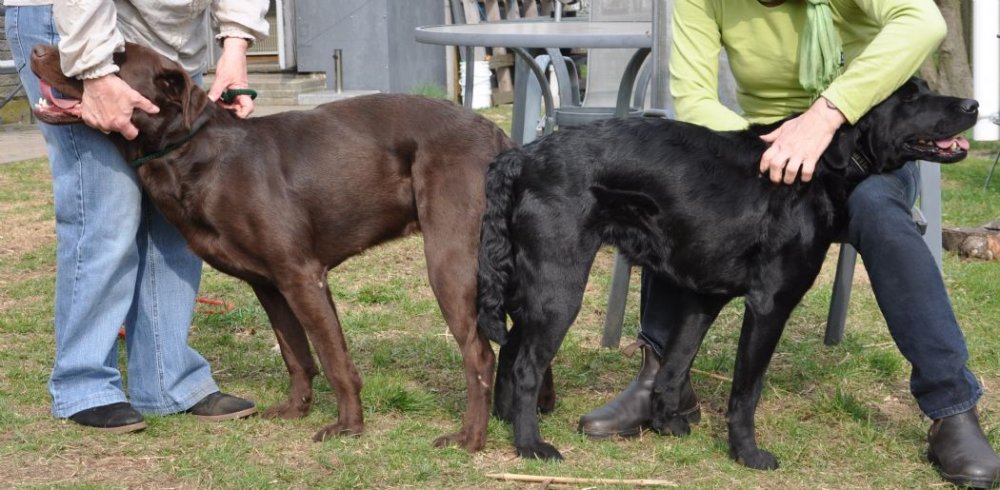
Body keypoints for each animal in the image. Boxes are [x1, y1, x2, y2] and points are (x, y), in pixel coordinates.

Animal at [34, 43, 512, 452]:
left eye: (114, 59)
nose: (37, 50)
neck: (189, 151)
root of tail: (496, 135)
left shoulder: (302, 276)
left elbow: (334, 360)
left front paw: (348, 427)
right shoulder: (270, 284)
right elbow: (296, 353)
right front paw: (297, 410)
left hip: (449, 261)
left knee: (479, 356)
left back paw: (471, 438)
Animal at [476, 79, 976, 468]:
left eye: (926, 89)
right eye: (909, 98)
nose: (972, 106)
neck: (821, 164)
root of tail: (522, 158)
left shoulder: (703, 297)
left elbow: (674, 366)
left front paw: (667, 424)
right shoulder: (770, 305)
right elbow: (745, 391)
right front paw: (747, 454)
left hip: (535, 287)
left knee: (512, 350)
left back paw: (506, 421)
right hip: (560, 286)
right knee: (525, 365)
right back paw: (531, 445)